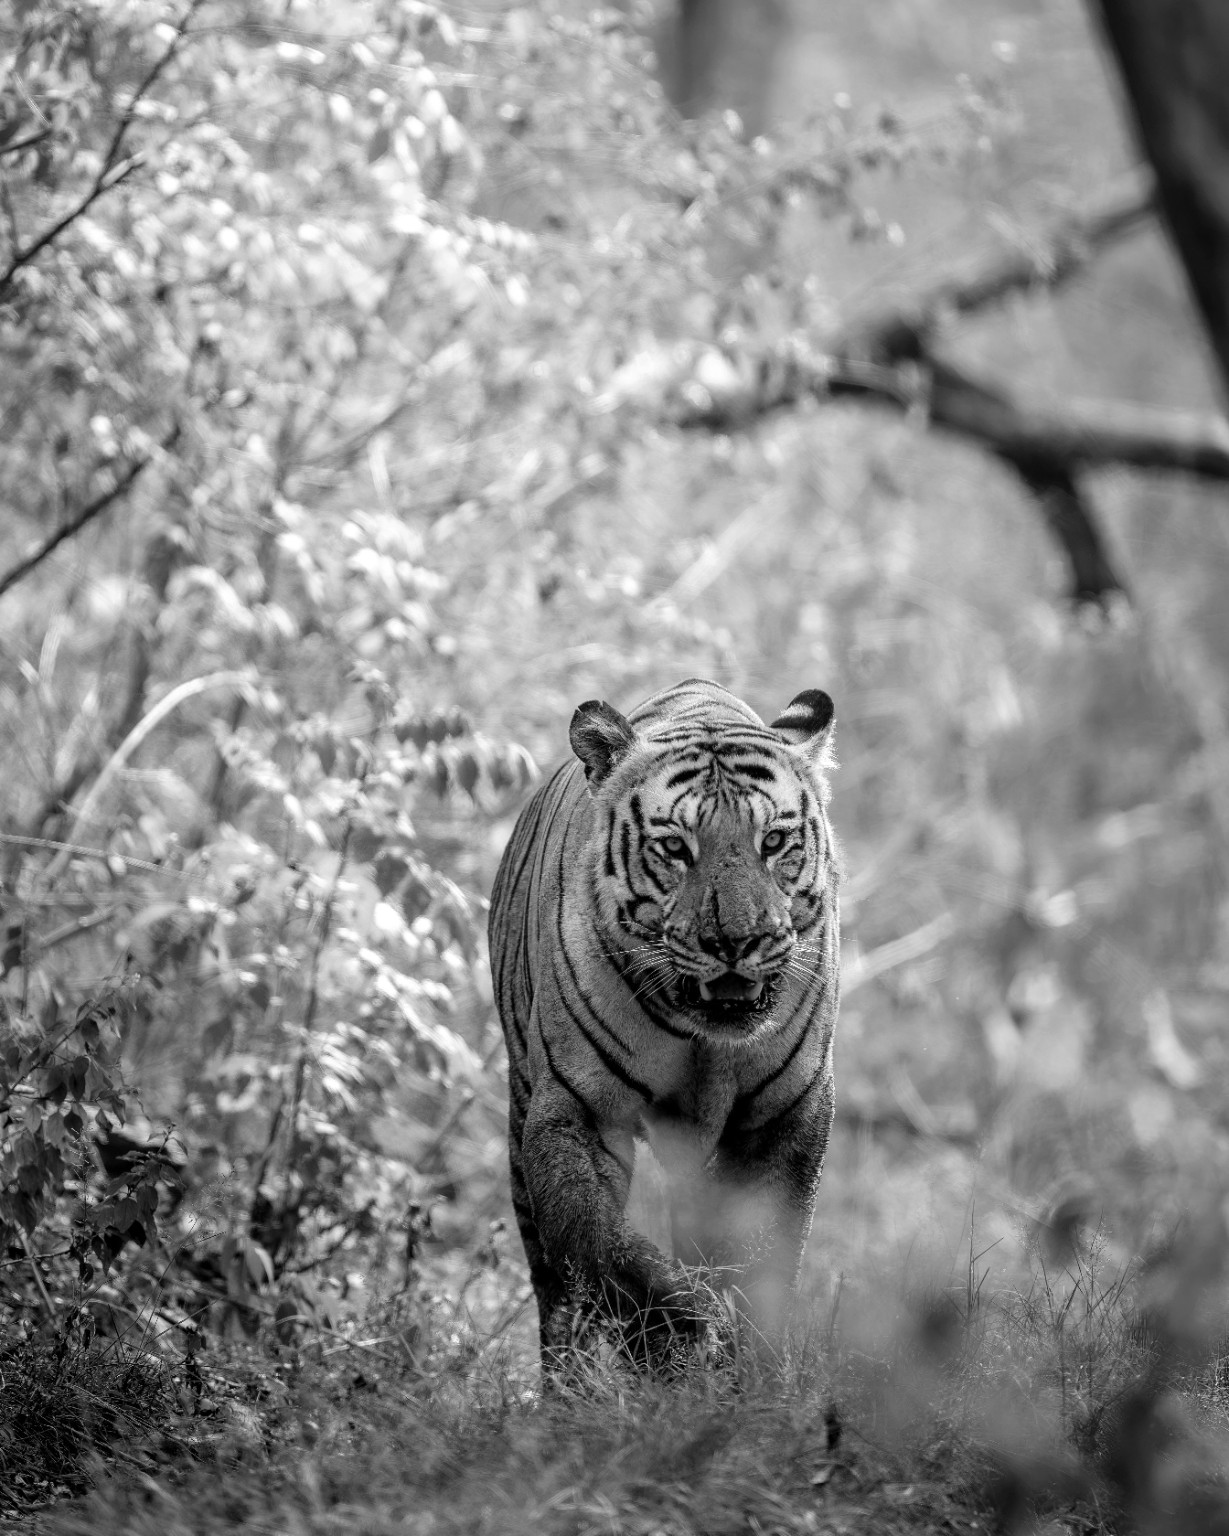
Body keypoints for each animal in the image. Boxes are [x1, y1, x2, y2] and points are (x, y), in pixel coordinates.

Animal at [488, 677, 840, 1372]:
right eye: (676, 846)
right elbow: (601, 1246)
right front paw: (678, 1335)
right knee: (555, 1293)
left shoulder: (786, 1112)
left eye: (774, 842)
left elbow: (764, 1262)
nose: (737, 940)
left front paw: (748, 1369)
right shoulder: (577, 1109)